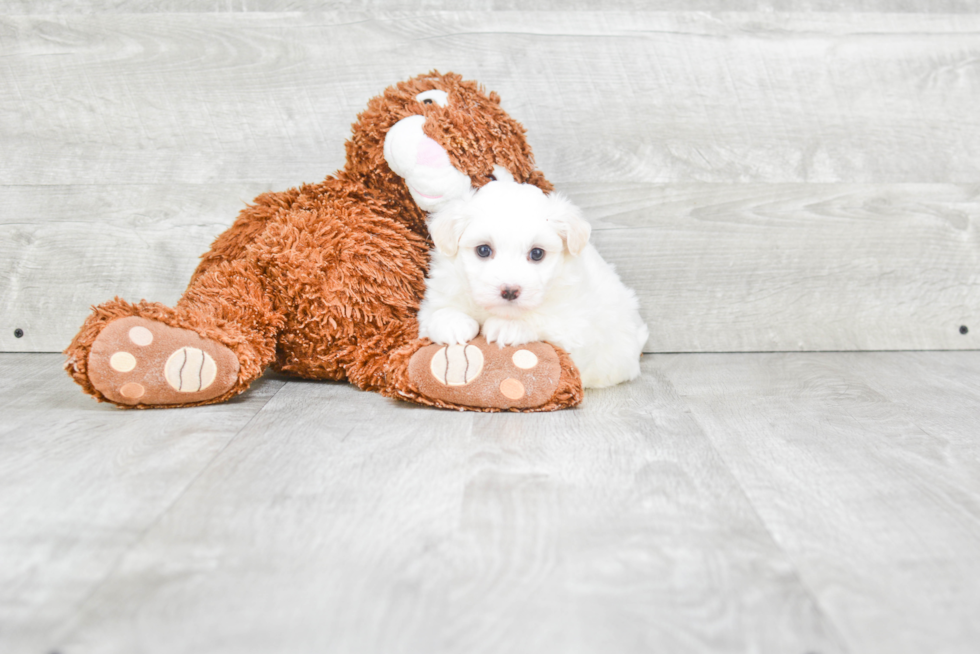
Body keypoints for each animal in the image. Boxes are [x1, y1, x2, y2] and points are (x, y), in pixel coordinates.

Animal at [418, 178, 648, 390]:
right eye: (483, 250)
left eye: (537, 253)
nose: (510, 291)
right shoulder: (439, 294)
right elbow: (437, 312)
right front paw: (452, 323)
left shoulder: (578, 328)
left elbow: (546, 321)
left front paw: (508, 327)